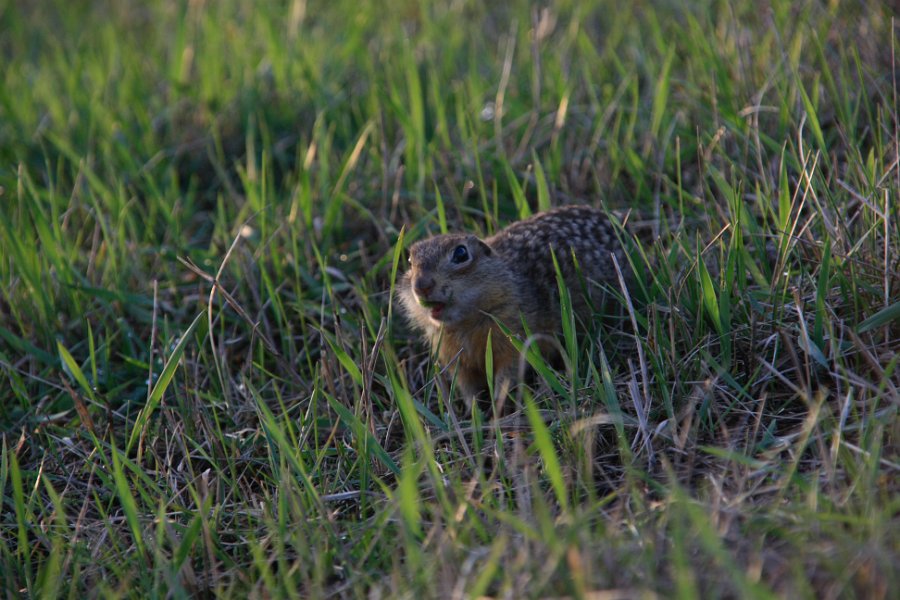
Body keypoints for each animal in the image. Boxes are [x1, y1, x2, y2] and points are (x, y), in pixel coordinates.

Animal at [400, 206, 624, 398]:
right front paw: (475, 414)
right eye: (410, 261)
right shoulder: (456, 360)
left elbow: (506, 377)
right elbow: (468, 389)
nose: (421, 286)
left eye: (461, 253)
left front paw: (497, 413)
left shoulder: (515, 342)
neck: (467, 322)